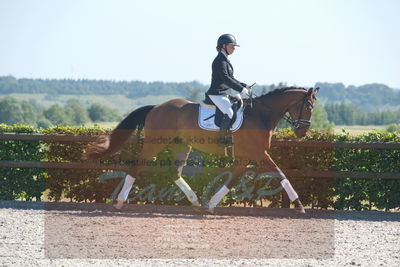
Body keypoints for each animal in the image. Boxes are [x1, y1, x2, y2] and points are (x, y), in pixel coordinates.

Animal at [84, 87, 318, 215]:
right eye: (308, 107)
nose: (302, 132)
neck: (260, 114)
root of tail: (156, 107)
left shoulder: (244, 157)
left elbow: (231, 180)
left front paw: (210, 205)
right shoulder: (259, 154)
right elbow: (280, 173)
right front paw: (299, 205)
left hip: (182, 145)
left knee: (174, 172)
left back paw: (195, 201)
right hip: (155, 143)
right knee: (137, 167)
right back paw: (119, 202)